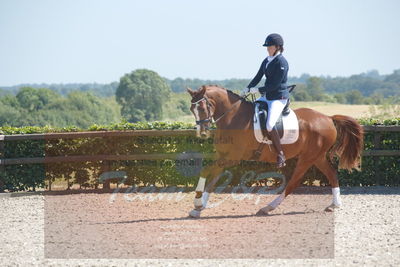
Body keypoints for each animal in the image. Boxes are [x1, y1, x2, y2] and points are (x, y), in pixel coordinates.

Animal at [186, 85, 364, 219]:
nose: (202, 133)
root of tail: (328, 118)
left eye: (202, 107)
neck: (233, 117)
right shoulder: (222, 156)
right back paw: (334, 205)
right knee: (332, 174)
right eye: (191, 109)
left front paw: (198, 202)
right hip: (317, 157)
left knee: (293, 183)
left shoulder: (232, 158)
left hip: (308, 157)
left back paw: (268, 208)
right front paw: (198, 208)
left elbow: (206, 171)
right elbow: (211, 178)